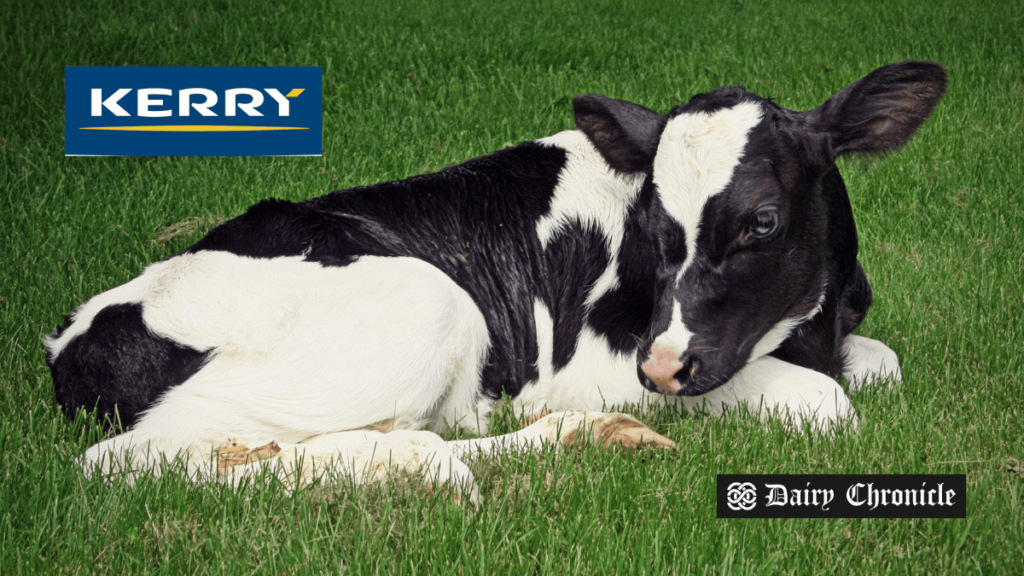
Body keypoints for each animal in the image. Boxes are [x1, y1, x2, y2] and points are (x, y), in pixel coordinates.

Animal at [46, 59, 942, 498]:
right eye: (652, 224)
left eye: (762, 222)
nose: (661, 370)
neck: (811, 321)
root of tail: (75, 336)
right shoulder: (601, 362)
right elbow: (828, 403)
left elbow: (884, 364)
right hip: (427, 302)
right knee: (128, 460)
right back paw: (425, 467)